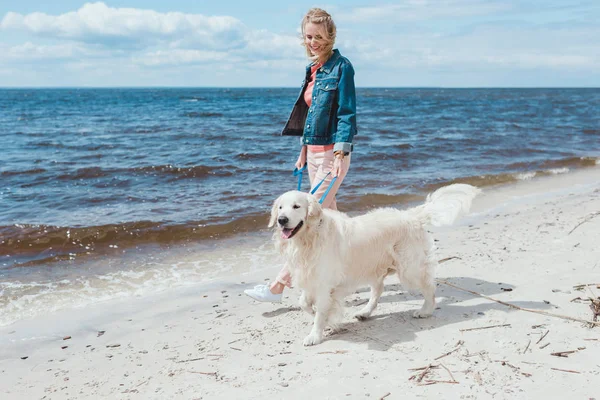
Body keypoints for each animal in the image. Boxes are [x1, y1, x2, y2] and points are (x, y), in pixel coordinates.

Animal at [270, 183, 480, 346]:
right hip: (374, 266)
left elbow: (320, 311)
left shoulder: (324, 283)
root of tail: (411, 216)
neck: (308, 239)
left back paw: (425, 311)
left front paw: (315, 334)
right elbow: (304, 303)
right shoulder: (309, 277)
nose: (281, 220)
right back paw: (365, 312)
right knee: (378, 290)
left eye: (296, 206)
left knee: (429, 287)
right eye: (280, 207)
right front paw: (325, 320)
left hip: (409, 268)